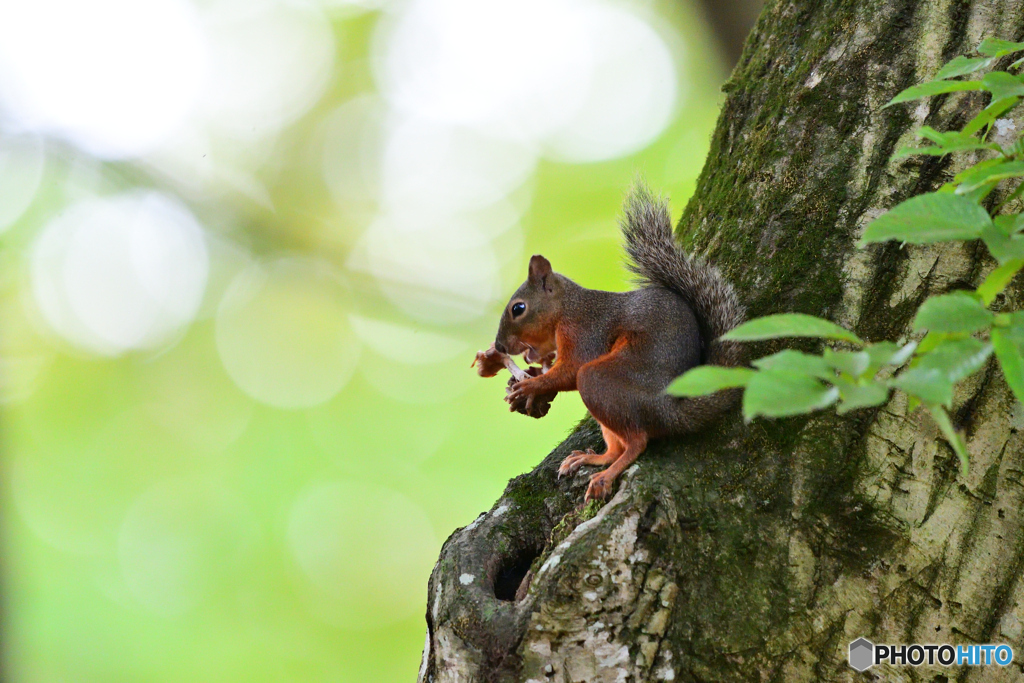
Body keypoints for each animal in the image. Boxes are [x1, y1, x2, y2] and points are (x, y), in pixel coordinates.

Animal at [475, 183, 749, 501]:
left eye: (518, 308)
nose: (500, 347)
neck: (567, 308)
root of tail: (670, 412)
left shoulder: (585, 331)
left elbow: (571, 370)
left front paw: (530, 386)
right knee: (617, 446)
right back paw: (593, 458)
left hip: (600, 380)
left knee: (636, 441)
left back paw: (606, 476)